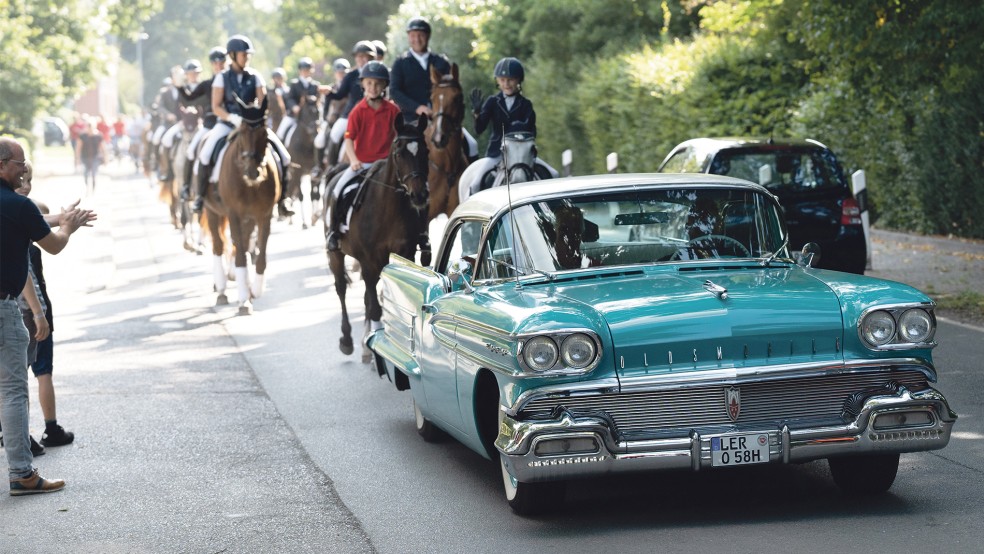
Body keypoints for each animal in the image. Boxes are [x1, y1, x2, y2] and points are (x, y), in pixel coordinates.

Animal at [203, 98, 280, 314]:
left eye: (264, 133)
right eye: (243, 132)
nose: (253, 171)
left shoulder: (264, 215)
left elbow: (259, 255)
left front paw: (254, 291)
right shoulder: (234, 214)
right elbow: (240, 256)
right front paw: (244, 299)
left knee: (241, 243)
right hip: (212, 211)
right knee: (218, 244)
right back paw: (221, 289)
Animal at [282, 94, 320, 227]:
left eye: (318, 112)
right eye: (307, 113)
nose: (316, 131)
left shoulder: (314, 171)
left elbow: (314, 195)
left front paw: (314, 218)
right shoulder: (299, 171)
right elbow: (301, 196)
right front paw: (304, 222)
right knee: (291, 191)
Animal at [324, 113, 428, 362]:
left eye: (426, 151)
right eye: (399, 153)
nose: (419, 195)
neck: (387, 209)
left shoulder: (404, 255)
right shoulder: (369, 261)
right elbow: (375, 307)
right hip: (336, 254)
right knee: (341, 289)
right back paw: (347, 340)